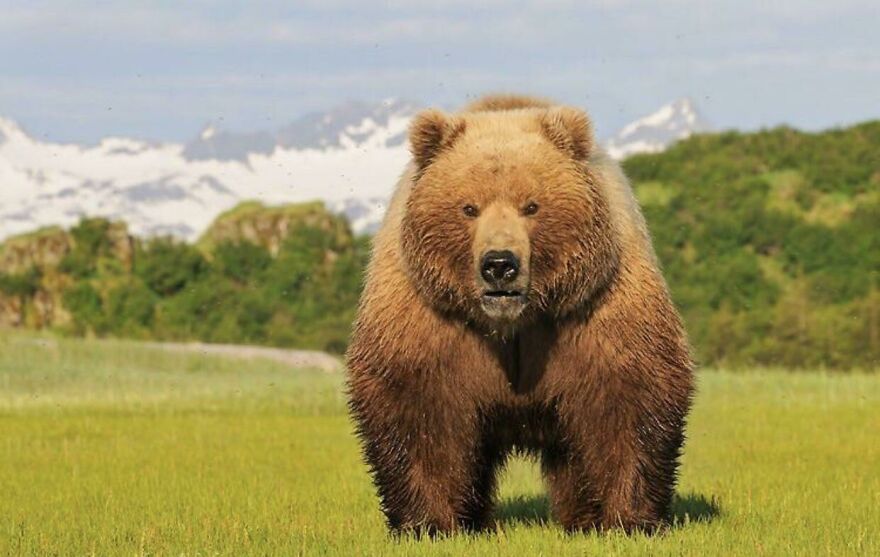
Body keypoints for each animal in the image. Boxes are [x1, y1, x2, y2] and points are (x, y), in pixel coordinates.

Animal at [345, 94, 694, 535]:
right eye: (468, 207)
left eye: (532, 205)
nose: (499, 264)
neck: (514, 324)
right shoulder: (429, 316)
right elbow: (417, 406)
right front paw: (427, 523)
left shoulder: (595, 309)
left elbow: (627, 396)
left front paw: (629, 519)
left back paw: (582, 518)